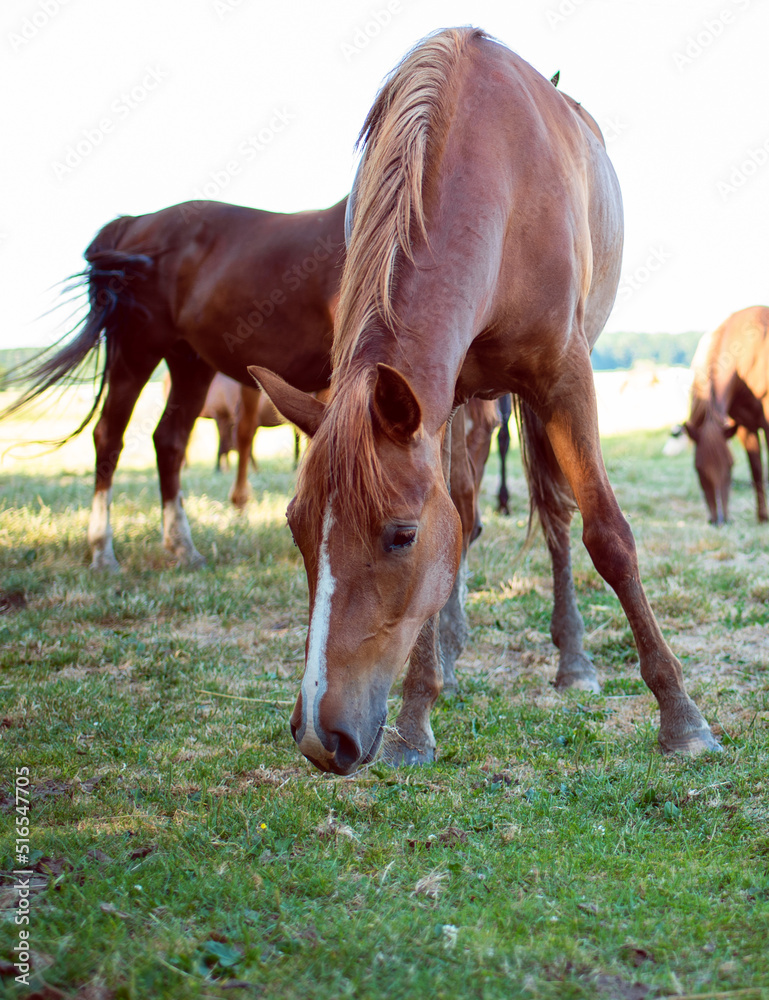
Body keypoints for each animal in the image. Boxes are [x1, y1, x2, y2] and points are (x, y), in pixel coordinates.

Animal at [251, 27, 718, 775]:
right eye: (296, 527)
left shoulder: (564, 376)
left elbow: (605, 536)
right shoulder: (435, 399)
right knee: (470, 508)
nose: (321, 739)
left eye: (400, 535)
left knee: (554, 514)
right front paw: (417, 713)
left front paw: (681, 715)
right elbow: (454, 529)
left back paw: (574, 660)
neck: (492, 171)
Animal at [683, 306, 769, 525]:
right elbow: (756, 470)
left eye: (730, 466)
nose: (720, 520)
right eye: (698, 469)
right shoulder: (745, 427)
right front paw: (762, 516)